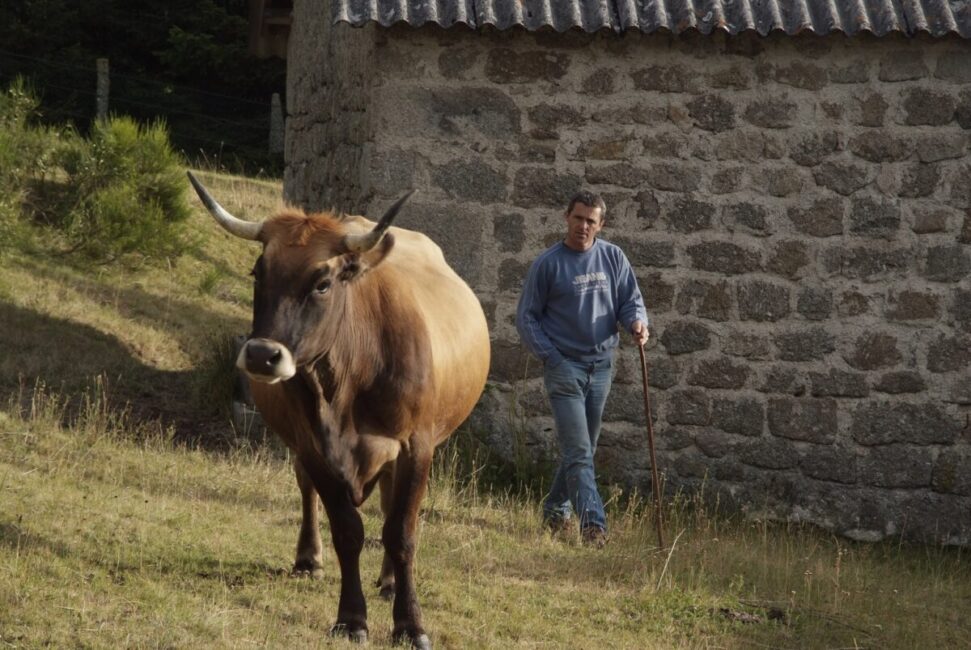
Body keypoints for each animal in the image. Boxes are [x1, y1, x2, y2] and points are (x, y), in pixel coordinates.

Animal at [186, 170, 490, 644]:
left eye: (322, 283)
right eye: (257, 272)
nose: (261, 356)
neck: (348, 378)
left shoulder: (417, 446)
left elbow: (401, 532)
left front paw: (410, 623)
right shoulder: (313, 445)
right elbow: (347, 530)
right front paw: (351, 618)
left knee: (389, 506)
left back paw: (388, 581)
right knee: (306, 489)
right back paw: (309, 559)